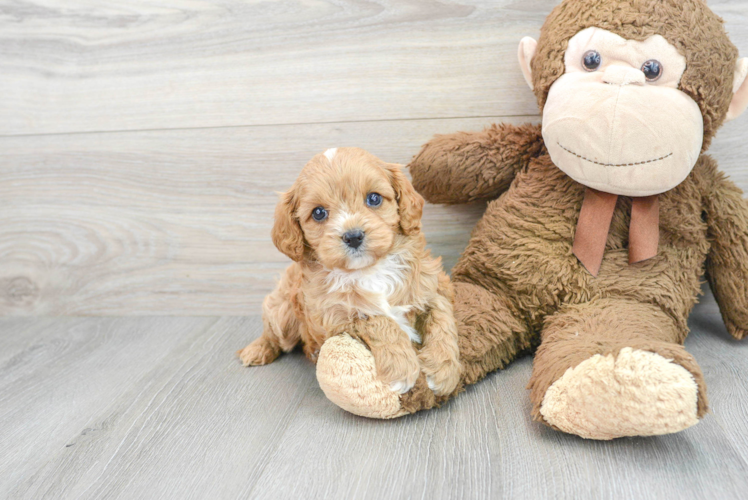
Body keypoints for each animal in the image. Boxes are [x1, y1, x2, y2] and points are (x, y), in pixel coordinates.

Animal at [240, 146, 462, 396]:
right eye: (318, 213)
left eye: (374, 198)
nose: (353, 236)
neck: (369, 270)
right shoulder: (335, 316)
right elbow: (378, 320)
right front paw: (401, 368)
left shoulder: (431, 284)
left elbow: (442, 318)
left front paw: (443, 370)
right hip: (282, 311)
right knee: (273, 332)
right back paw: (257, 350)